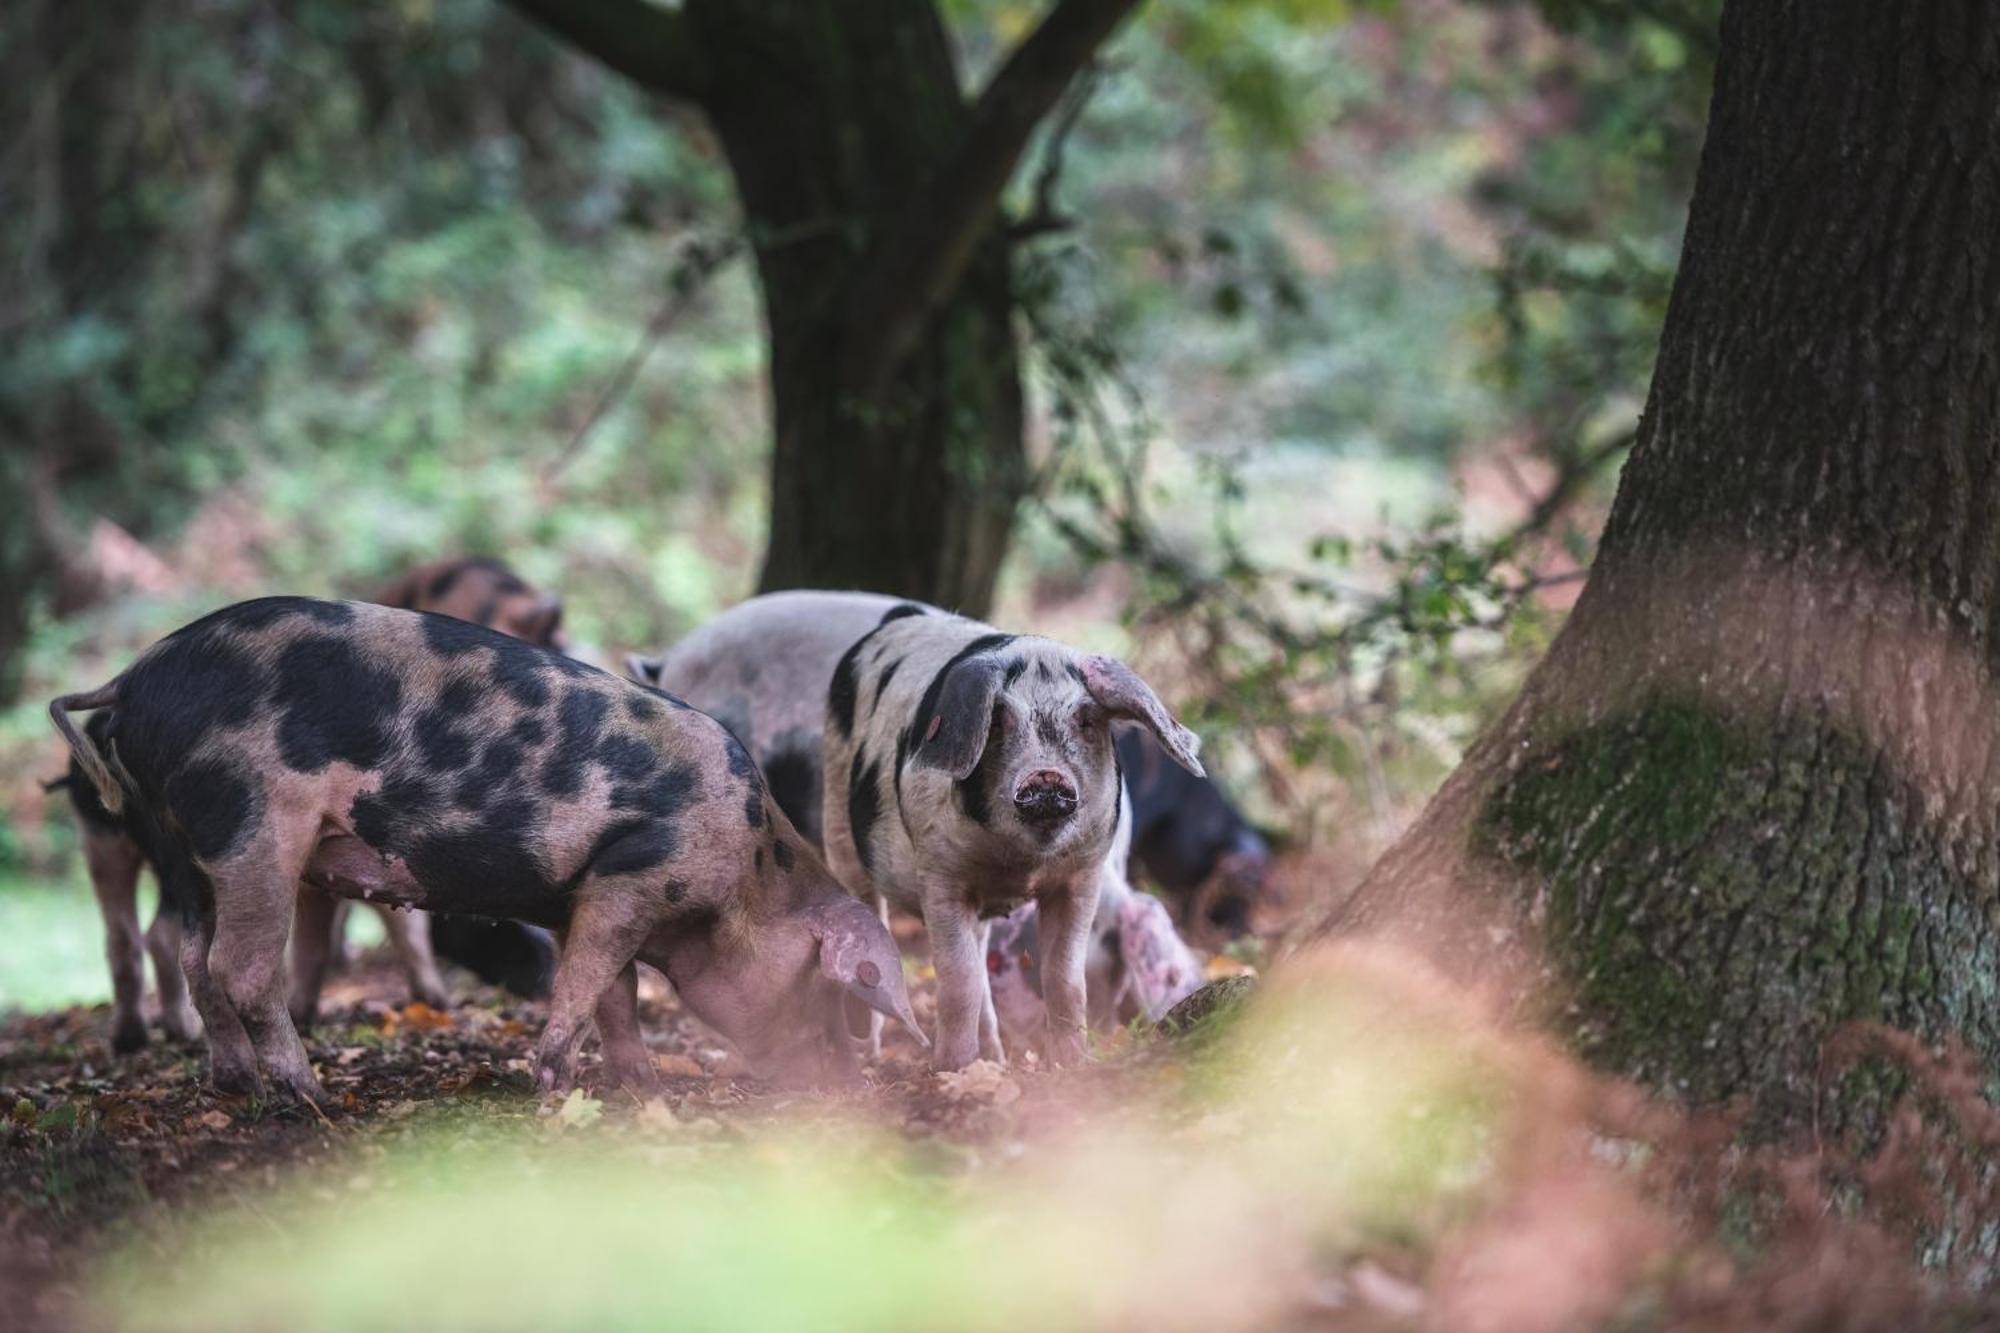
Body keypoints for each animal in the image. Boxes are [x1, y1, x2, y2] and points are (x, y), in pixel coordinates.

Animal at [48, 596, 916, 1096]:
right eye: (821, 984)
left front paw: (642, 1093)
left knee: (192, 957)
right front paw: (551, 1087)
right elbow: (590, 985)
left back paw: (234, 1087)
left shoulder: (581, 896)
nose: (848, 1087)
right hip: (251, 826)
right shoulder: (632, 877)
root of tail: (133, 681)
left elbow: (615, 996)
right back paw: (308, 1099)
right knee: (241, 967)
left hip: (175, 840)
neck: (749, 862)